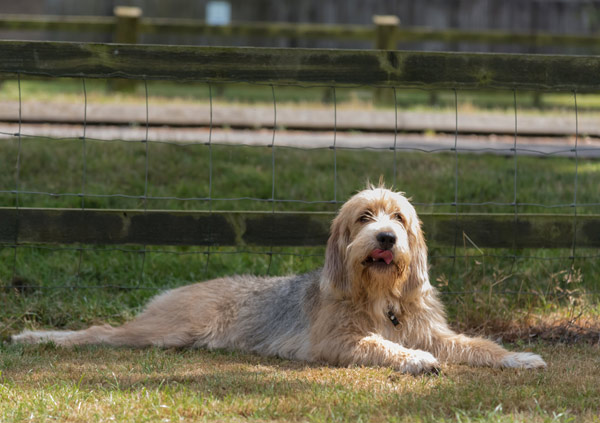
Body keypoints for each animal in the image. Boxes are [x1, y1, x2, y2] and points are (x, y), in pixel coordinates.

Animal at [12, 187, 548, 376]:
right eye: (364, 217)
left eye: (399, 217)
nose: (386, 237)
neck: (381, 297)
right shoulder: (339, 342)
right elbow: (383, 345)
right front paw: (414, 360)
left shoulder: (433, 331)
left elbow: (476, 344)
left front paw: (517, 357)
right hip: (163, 330)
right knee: (98, 332)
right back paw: (34, 337)